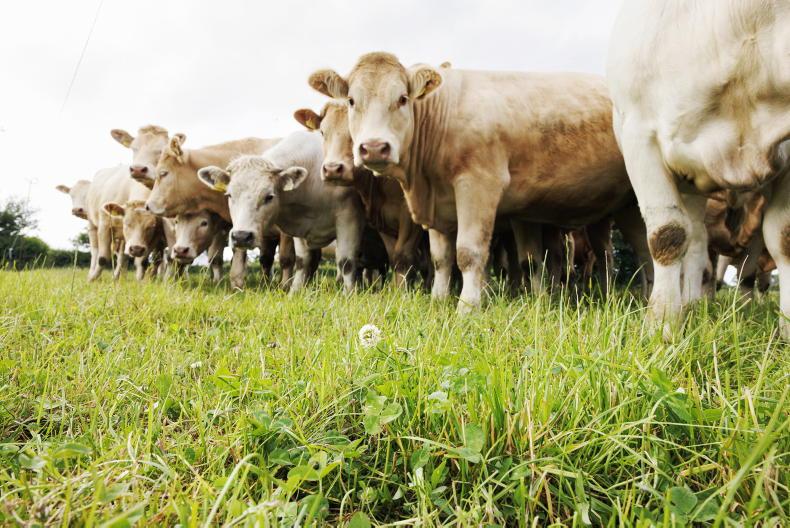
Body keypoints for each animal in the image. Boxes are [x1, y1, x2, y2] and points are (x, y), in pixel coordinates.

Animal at [196, 130, 366, 293]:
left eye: (269, 197)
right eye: (229, 195)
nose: (241, 237)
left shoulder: (348, 217)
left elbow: (346, 261)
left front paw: (349, 293)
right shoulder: (301, 226)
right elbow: (302, 261)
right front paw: (295, 291)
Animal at [294, 103, 430, 287]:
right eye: (322, 132)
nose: (332, 169)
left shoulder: (410, 219)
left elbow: (404, 257)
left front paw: (402, 292)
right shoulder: (383, 221)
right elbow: (394, 257)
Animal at [308, 52, 651, 312]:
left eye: (402, 98)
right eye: (352, 100)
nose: (374, 147)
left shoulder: (478, 186)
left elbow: (469, 253)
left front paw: (468, 307)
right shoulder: (438, 207)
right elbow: (442, 259)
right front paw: (438, 300)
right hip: (626, 206)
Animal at [607, 1, 790, 337]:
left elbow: (783, 238)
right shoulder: (641, 138)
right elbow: (667, 234)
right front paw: (662, 324)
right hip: (686, 181)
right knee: (693, 240)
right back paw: (688, 305)